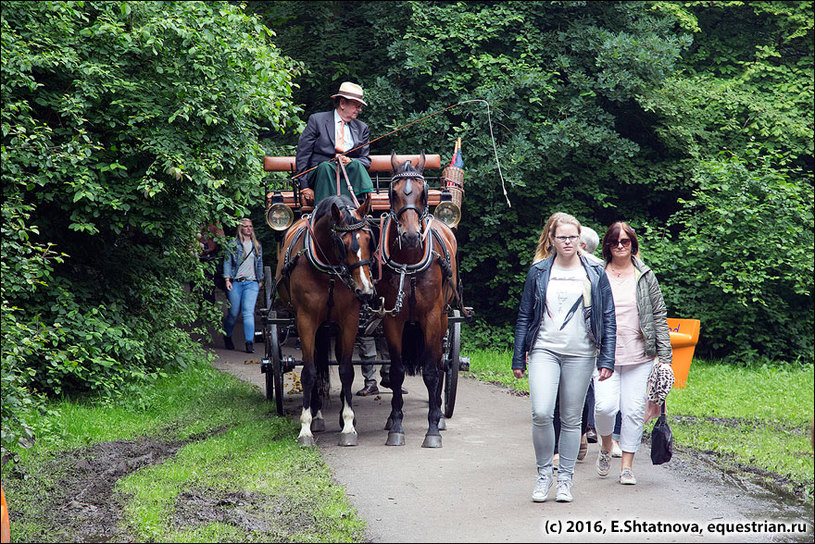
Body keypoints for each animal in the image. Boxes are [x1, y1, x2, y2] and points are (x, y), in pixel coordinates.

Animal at [274, 196, 376, 446]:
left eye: (369, 239)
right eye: (342, 243)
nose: (365, 290)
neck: (330, 271)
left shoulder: (349, 320)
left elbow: (346, 370)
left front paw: (348, 425)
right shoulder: (306, 320)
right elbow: (309, 372)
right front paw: (305, 428)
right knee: (317, 366)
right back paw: (317, 415)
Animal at [376, 152, 460, 446]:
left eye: (424, 192)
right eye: (393, 193)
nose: (411, 236)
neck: (409, 265)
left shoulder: (432, 318)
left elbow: (432, 371)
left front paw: (433, 428)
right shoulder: (393, 319)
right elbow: (397, 371)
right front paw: (396, 426)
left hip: (444, 318)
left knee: (439, 362)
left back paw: (440, 415)